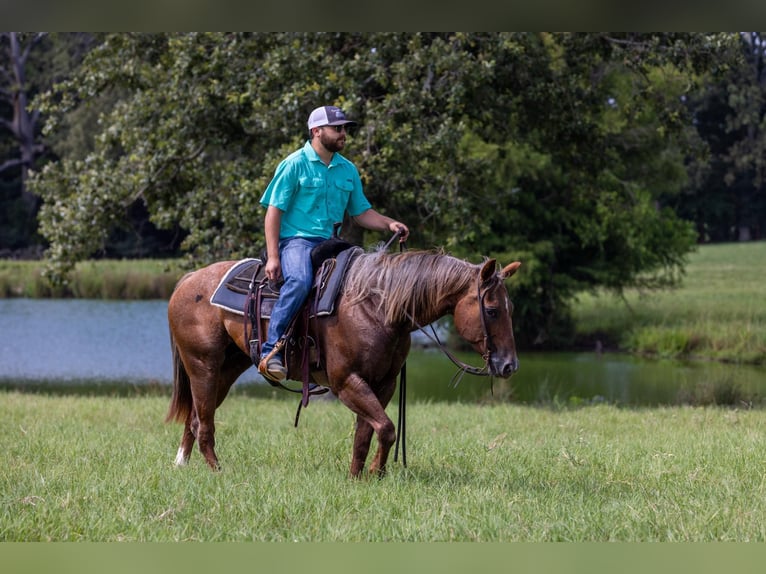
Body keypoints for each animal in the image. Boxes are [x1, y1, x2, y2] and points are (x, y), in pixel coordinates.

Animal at [165, 248, 522, 477]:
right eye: (492, 310)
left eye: (510, 309)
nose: (509, 366)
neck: (377, 307)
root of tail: (189, 280)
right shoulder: (346, 382)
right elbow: (387, 428)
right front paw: (376, 473)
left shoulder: (382, 384)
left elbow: (367, 432)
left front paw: (357, 477)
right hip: (203, 365)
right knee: (205, 423)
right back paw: (217, 471)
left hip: (228, 368)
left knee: (196, 418)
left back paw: (182, 464)